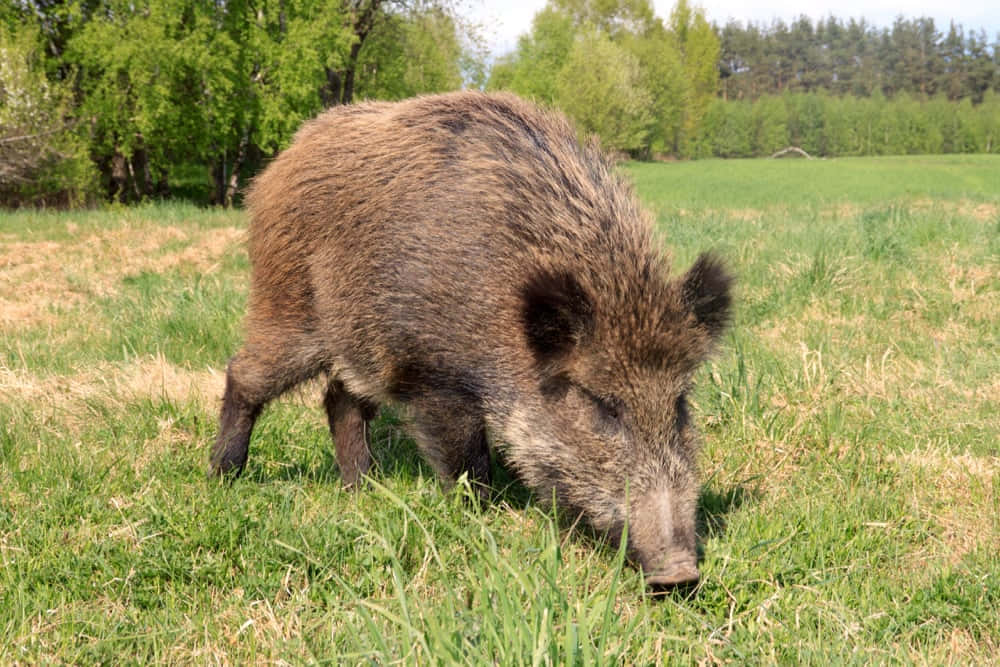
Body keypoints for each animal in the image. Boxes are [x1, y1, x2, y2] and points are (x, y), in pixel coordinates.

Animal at [210, 91, 731, 588]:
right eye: (601, 404)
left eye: (680, 404)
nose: (680, 573)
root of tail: (280, 164)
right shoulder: (437, 376)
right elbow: (467, 461)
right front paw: (481, 520)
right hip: (290, 309)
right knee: (245, 373)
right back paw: (223, 475)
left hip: (358, 347)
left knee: (340, 399)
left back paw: (365, 488)